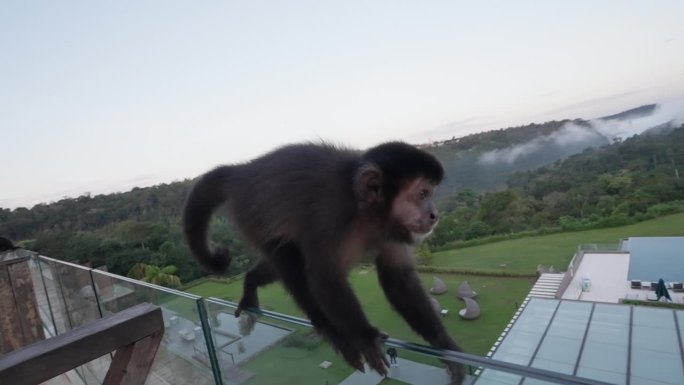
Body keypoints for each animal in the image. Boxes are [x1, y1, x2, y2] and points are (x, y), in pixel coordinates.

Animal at [184, 142, 464, 382]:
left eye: (430, 193)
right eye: (422, 193)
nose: (434, 214)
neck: (364, 211)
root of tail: (243, 171)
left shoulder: (394, 229)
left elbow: (397, 277)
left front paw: (445, 346)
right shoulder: (332, 214)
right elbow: (324, 277)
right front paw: (365, 338)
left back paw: (250, 281)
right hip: (252, 216)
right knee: (291, 263)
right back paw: (332, 331)